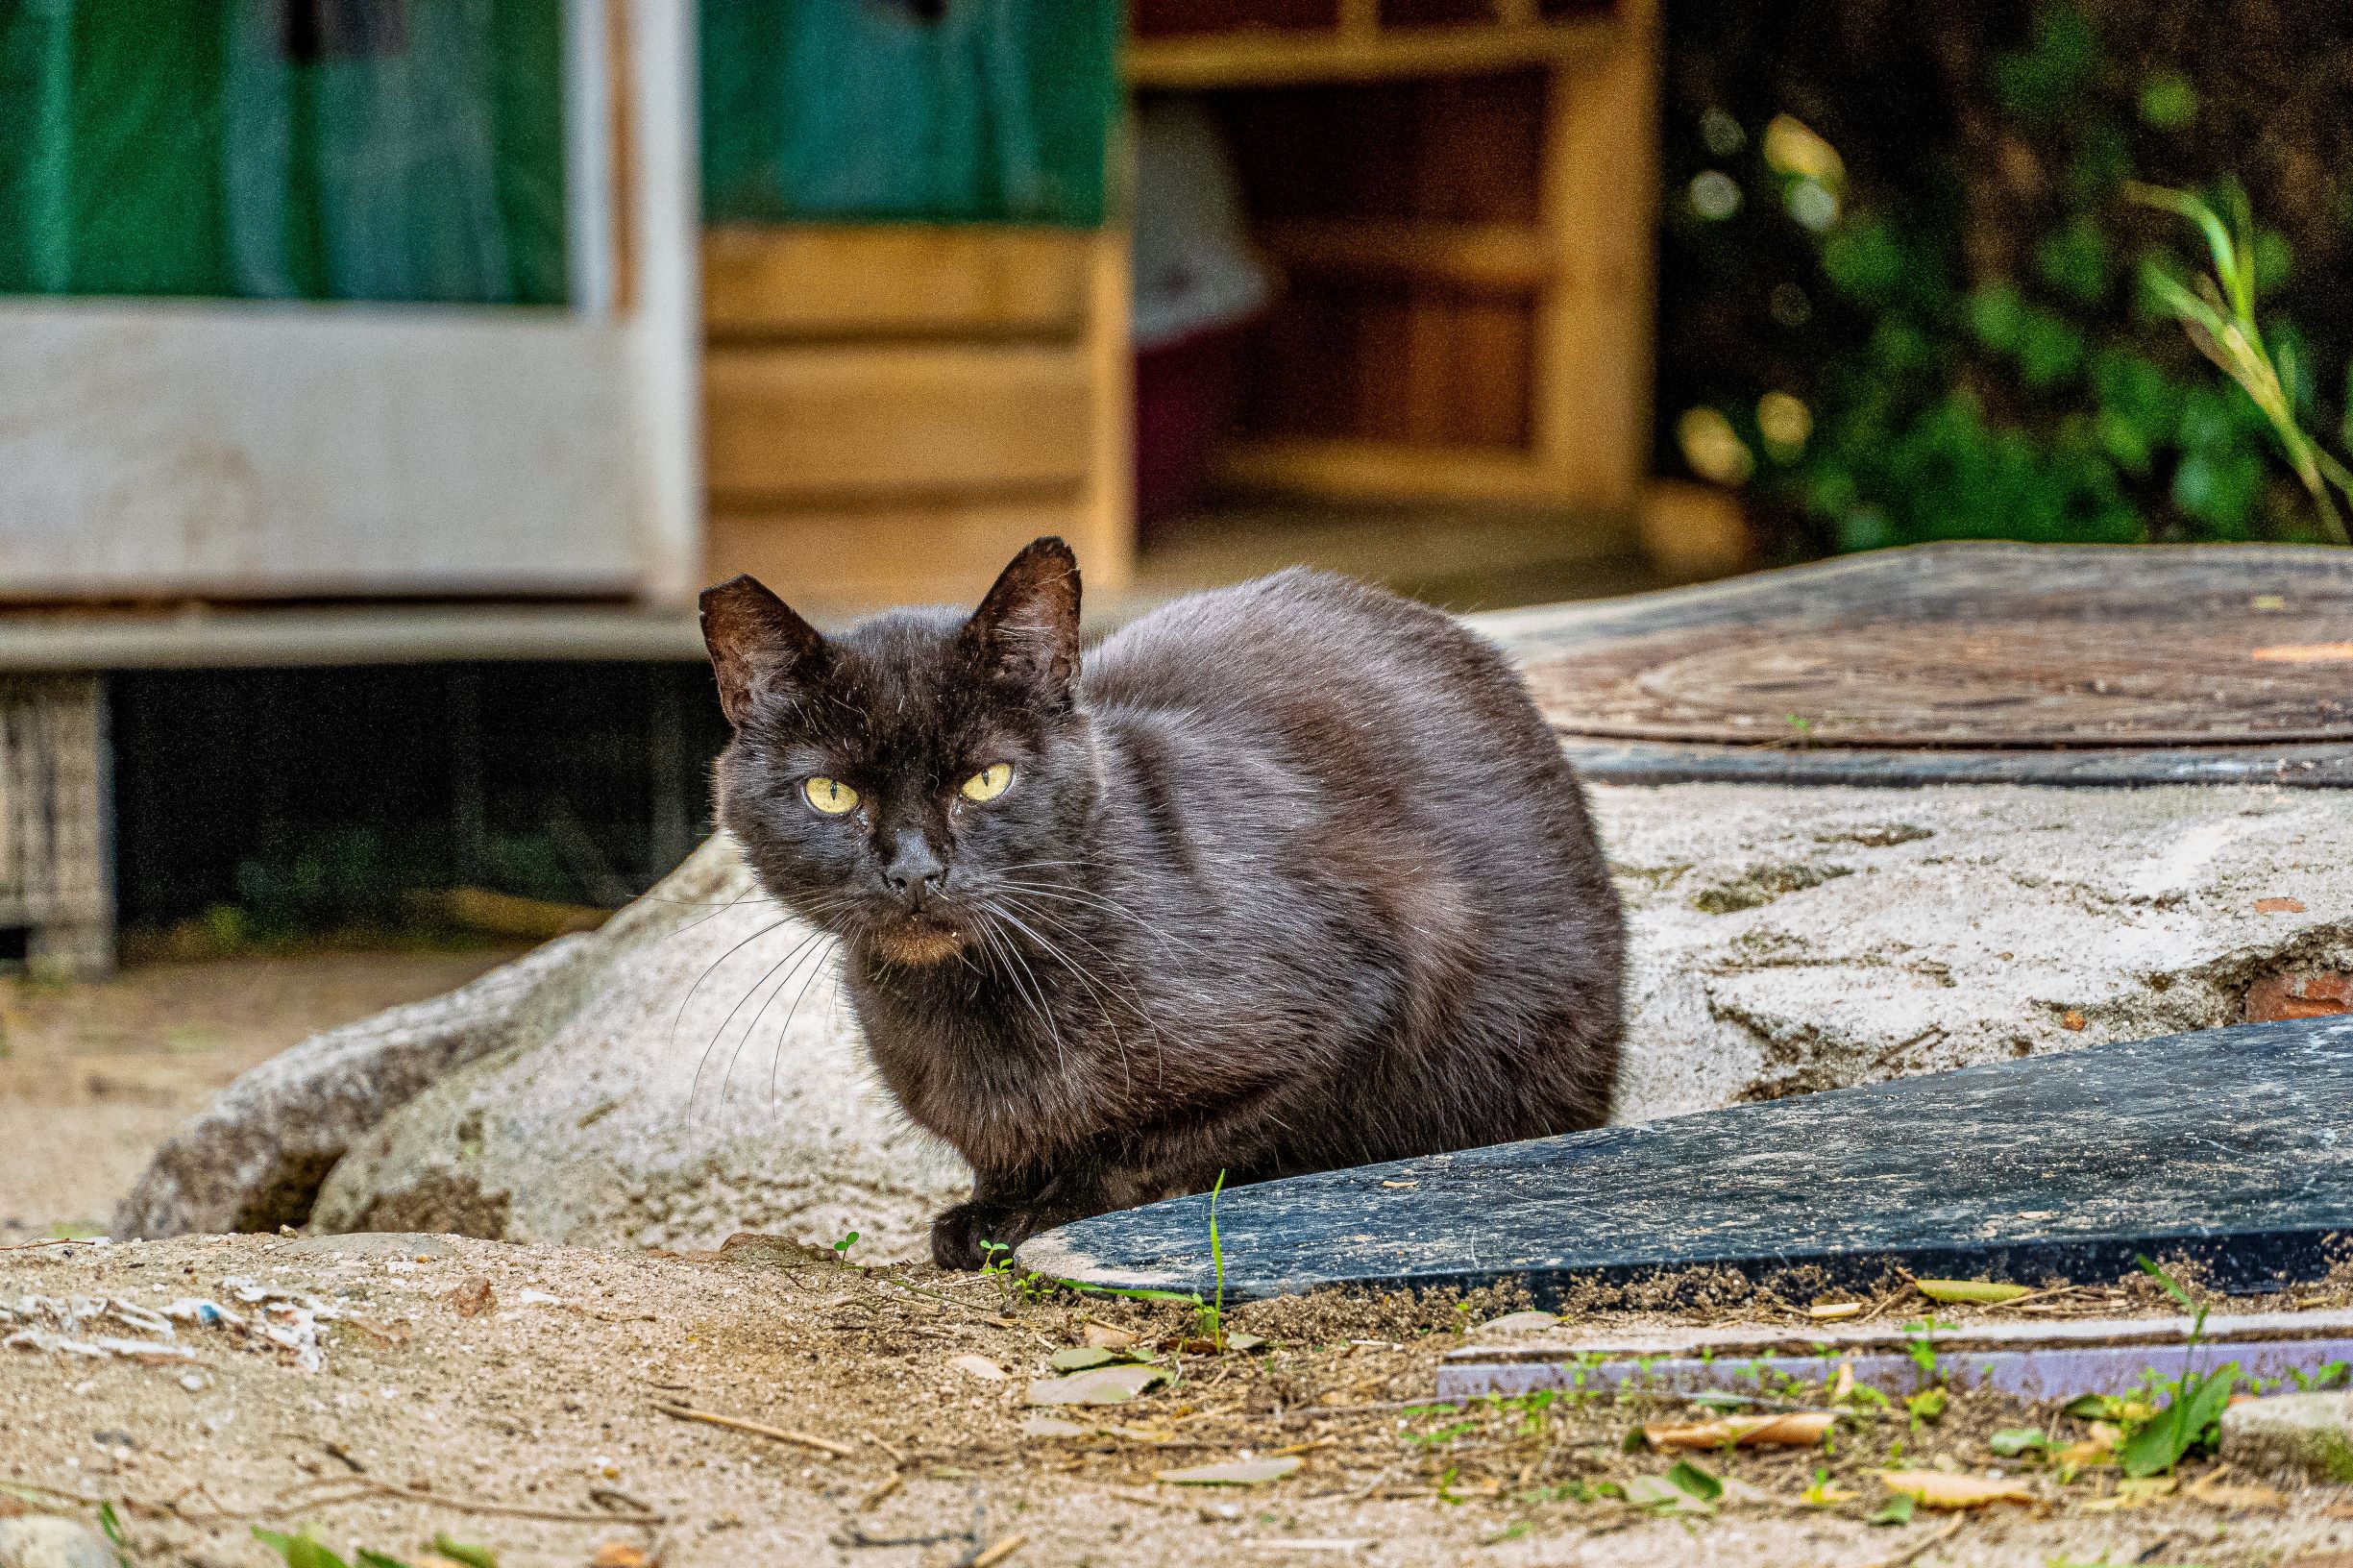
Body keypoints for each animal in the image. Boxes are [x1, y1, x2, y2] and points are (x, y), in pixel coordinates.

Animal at [696, 541, 1618, 1271]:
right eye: (830, 793)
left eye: (987, 780)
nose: (915, 874)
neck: (976, 1003)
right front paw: (988, 1206)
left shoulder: (1365, 996)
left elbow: (1154, 1153)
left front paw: (1032, 1216)